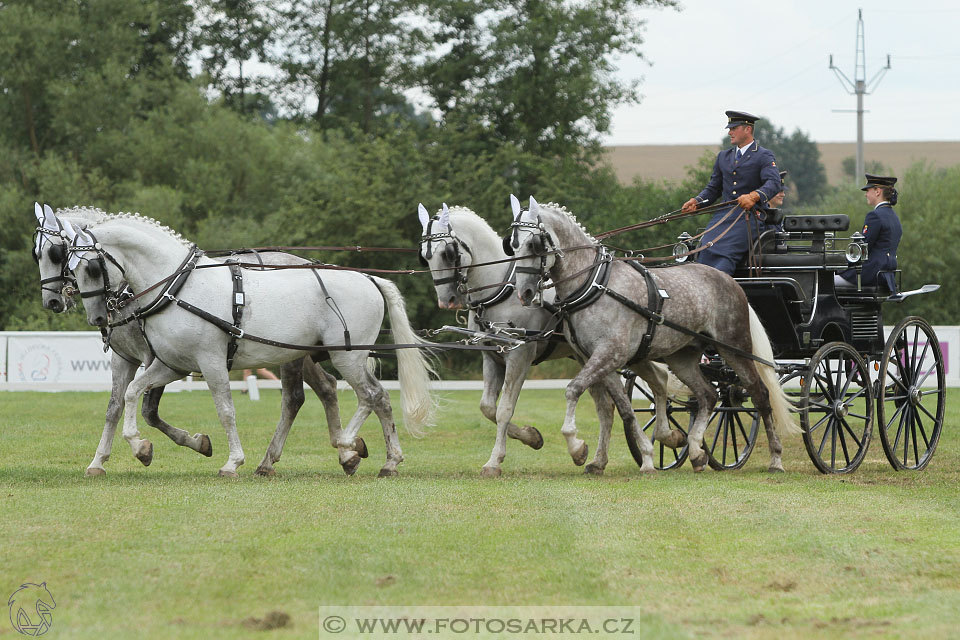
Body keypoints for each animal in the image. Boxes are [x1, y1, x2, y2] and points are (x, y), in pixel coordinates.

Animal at [55, 210, 436, 476]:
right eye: (67, 265)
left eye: (90, 268)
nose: (98, 319)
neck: (179, 287)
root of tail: (368, 278)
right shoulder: (172, 364)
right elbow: (132, 394)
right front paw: (140, 447)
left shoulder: (210, 360)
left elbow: (225, 409)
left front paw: (232, 462)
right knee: (376, 398)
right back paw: (386, 460)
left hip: (347, 357)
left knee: (370, 396)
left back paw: (350, 445)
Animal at [420, 202, 684, 478]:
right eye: (425, 256)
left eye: (448, 253)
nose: (446, 300)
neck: (501, 289)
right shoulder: (491, 357)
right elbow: (487, 408)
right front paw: (532, 437)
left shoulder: (520, 356)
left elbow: (504, 410)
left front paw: (494, 461)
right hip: (596, 356)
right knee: (617, 401)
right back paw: (604, 457)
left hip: (621, 352)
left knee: (654, 381)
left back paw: (663, 439)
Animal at [506, 198, 800, 472]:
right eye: (512, 244)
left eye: (534, 244)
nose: (525, 293)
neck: (594, 283)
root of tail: (731, 281)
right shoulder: (594, 358)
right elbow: (621, 407)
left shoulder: (610, 354)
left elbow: (573, 389)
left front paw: (576, 447)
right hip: (682, 357)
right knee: (708, 395)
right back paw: (696, 452)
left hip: (734, 347)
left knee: (760, 394)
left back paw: (776, 457)